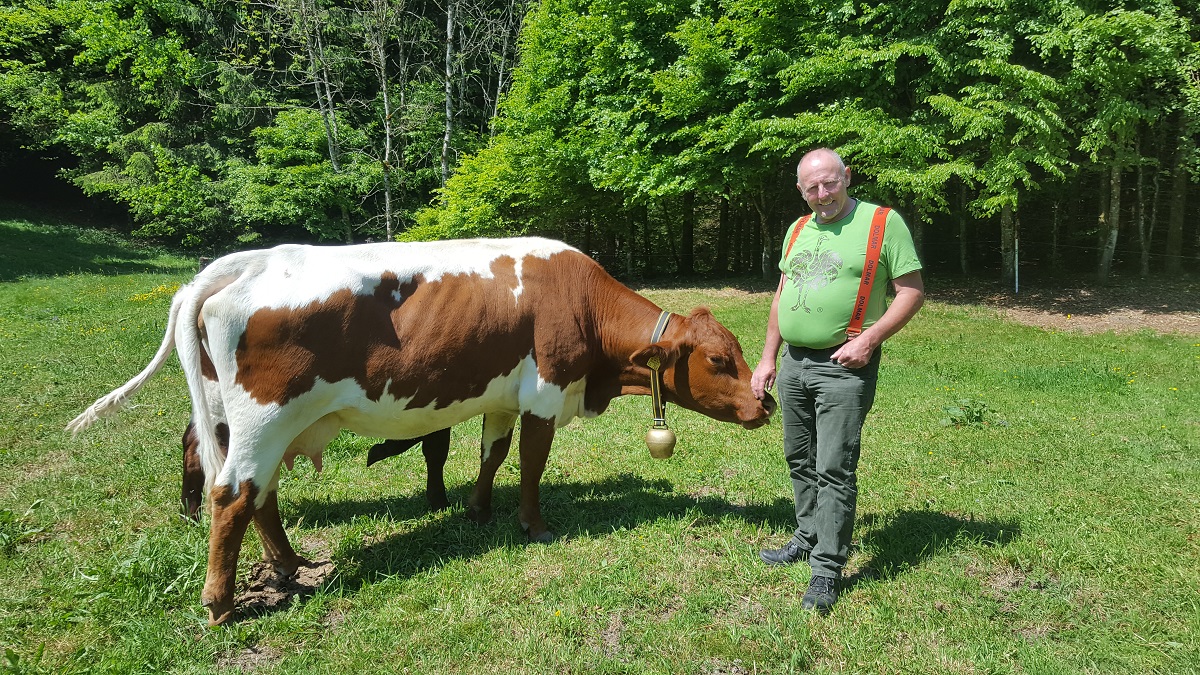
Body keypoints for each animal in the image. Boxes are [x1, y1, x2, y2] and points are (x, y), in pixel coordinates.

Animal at [68, 237, 777, 624]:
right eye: (720, 360)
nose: (764, 404)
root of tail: (241, 264)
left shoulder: (503, 393)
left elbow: (494, 454)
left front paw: (479, 510)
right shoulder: (546, 393)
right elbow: (532, 462)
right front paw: (535, 525)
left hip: (241, 423)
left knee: (258, 497)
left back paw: (292, 566)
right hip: (262, 421)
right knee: (232, 497)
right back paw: (221, 604)